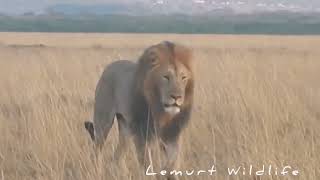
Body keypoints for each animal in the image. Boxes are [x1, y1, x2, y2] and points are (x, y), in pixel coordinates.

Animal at [85, 41, 194, 180]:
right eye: (166, 77)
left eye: (183, 78)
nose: (177, 97)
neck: (160, 110)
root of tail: (110, 66)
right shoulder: (142, 134)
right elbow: (147, 163)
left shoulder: (172, 134)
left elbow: (173, 159)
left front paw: (167, 172)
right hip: (103, 123)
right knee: (97, 151)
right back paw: (96, 172)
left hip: (125, 128)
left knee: (118, 155)